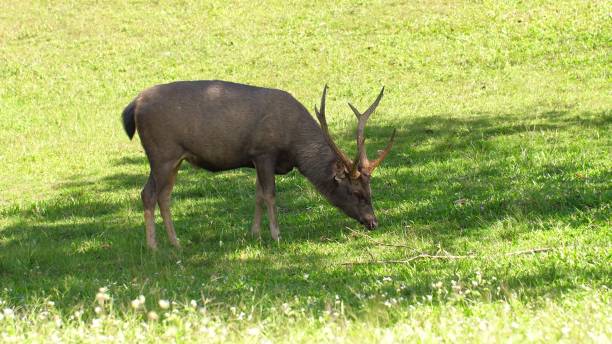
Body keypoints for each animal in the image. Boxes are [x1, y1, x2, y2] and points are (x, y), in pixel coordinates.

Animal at [121, 80, 394, 249]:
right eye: (357, 193)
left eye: (370, 191)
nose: (373, 222)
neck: (294, 145)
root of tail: (134, 105)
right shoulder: (264, 151)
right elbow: (270, 195)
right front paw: (276, 235)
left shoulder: (256, 159)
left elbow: (258, 195)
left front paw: (254, 234)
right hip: (162, 153)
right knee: (148, 193)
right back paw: (154, 246)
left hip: (173, 159)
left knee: (163, 195)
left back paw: (175, 243)